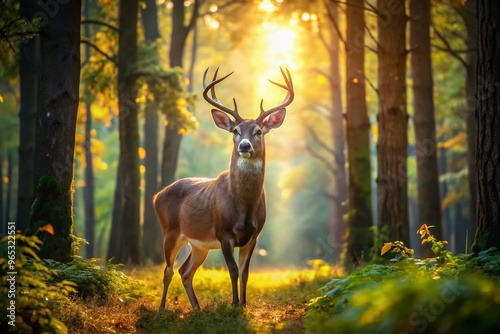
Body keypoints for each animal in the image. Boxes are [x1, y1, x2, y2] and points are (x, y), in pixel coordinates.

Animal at [152, 68, 292, 310]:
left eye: (258, 131)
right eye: (235, 130)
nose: (244, 145)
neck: (243, 208)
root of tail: (156, 196)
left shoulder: (254, 236)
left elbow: (245, 273)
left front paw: (243, 304)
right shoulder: (223, 232)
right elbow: (233, 270)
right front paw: (234, 304)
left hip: (199, 245)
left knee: (185, 271)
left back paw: (197, 309)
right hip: (169, 230)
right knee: (168, 270)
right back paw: (161, 309)